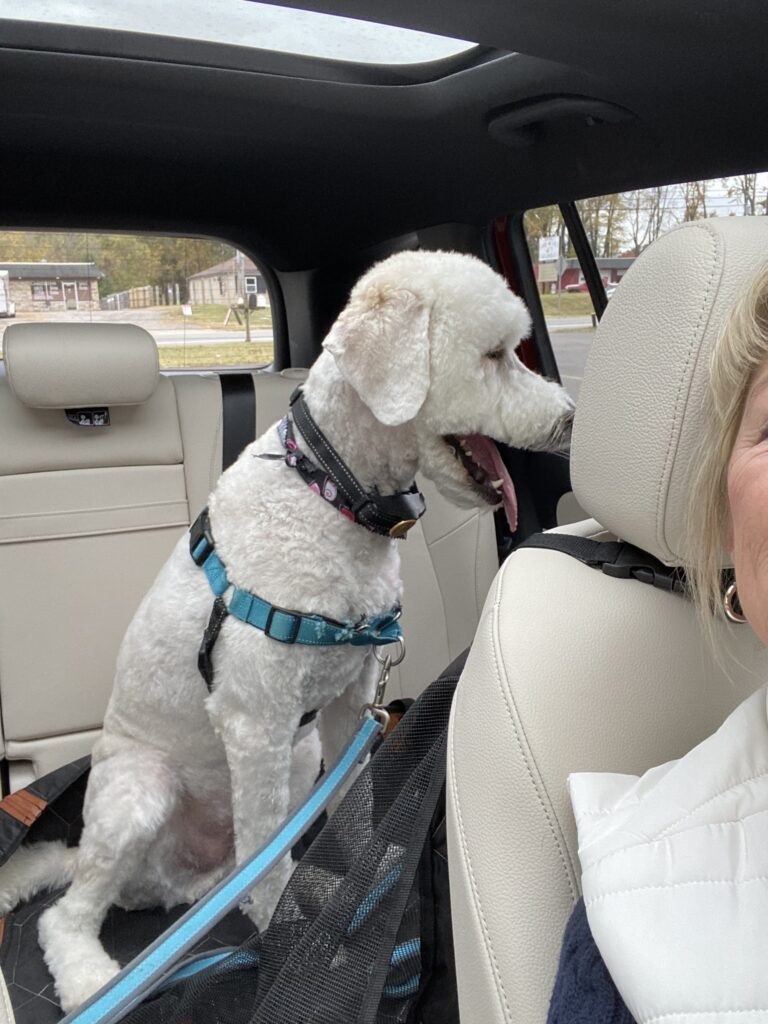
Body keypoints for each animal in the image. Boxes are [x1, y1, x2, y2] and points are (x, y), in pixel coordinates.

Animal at [0, 249, 573, 1012]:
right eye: (493, 354)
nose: (570, 417)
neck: (327, 490)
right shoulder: (257, 722)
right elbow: (270, 865)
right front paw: (288, 933)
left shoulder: (346, 702)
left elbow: (358, 803)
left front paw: (351, 883)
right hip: (140, 792)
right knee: (73, 914)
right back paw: (95, 975)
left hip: (296, 765)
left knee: (224, 871)